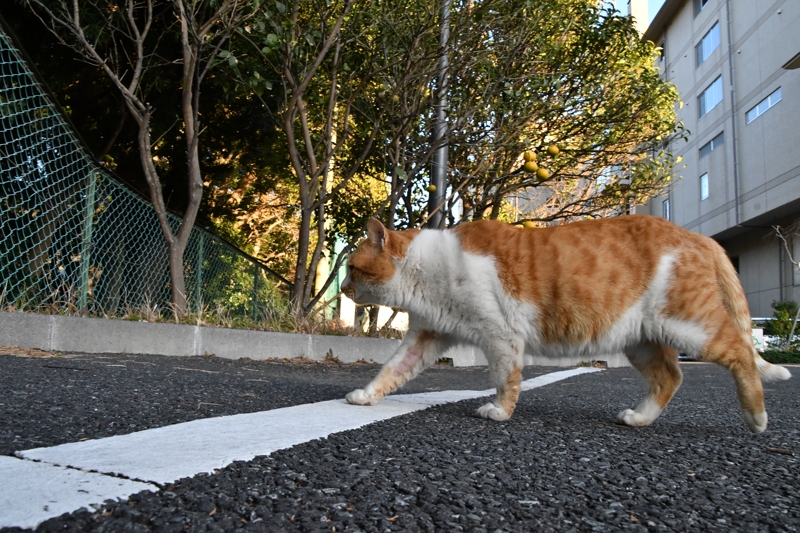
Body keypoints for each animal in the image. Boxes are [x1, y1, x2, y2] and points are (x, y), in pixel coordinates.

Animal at [341, 215, 791, 433]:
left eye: (351, 268)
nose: (342, 286)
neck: (426, 270)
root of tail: (698, 236)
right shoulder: (427, 335)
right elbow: (391, 370)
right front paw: (365, 396)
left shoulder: (500, 335)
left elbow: (505, 378)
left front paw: (500, 412)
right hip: (641, 339)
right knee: (670, 377)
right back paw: (639, 418)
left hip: (689, 325)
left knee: (741, 351)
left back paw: (757, 417)